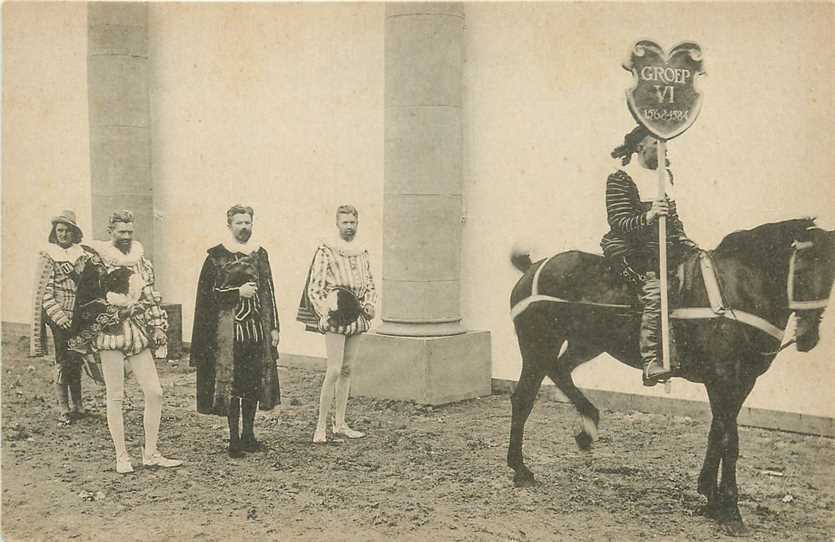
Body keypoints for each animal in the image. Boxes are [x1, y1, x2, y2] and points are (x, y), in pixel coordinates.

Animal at [506, 219, 832, 536]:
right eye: (800, 272)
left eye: (830, 276)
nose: (808, 338)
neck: (739, 288)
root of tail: (534, 268)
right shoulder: (723, 378)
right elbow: (729, 440)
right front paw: (729, 511)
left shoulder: (742, 382)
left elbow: (717, 432)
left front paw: (709, 497)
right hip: (538, 344)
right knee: (524, 398)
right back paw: (521, 469)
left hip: (586, 342)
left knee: (559, 370)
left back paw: (587, 426)